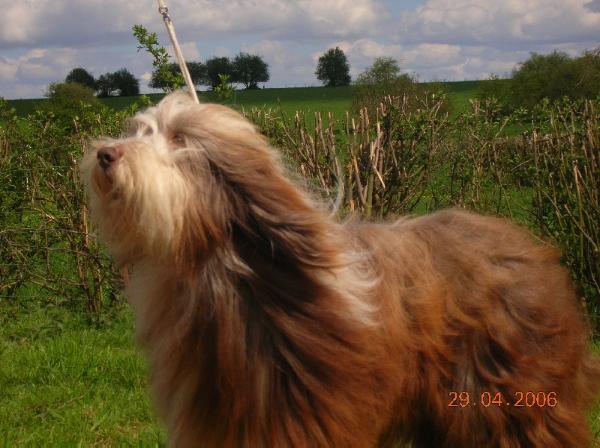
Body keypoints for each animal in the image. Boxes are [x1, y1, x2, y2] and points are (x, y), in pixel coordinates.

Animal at [81, 93, 600, 446]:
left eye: (178, 139)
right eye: (139, 131)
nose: (106, 155)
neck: (230, 273)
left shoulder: (312, 410)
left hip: (512, 397)